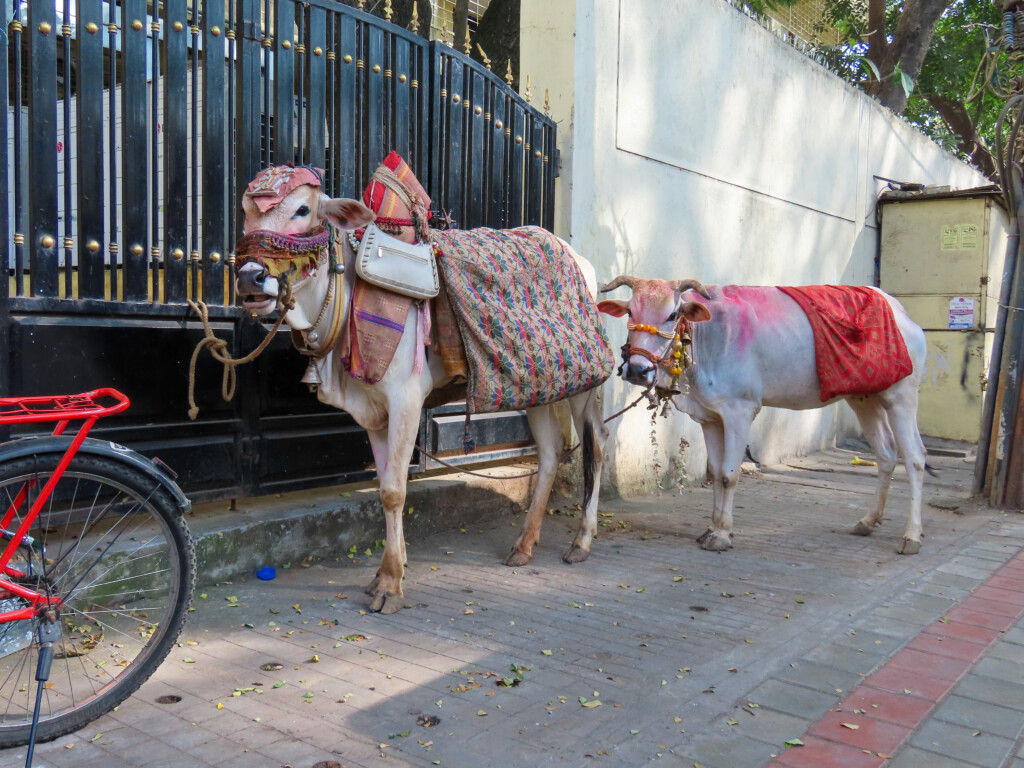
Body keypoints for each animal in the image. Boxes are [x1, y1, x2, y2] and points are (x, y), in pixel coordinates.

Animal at [232, 159, 610, 618]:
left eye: (303, 210)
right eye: (246, 212)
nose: (251, 278)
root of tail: (579, 258)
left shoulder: (406, 399)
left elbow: (395, 491)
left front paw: (390, 584)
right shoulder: (373, 412)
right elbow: (384, 487)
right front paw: (387, 570)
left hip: (585, 384)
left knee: (596, 445)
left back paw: (581, 540)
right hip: (538, 384)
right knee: (552, 451)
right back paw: (524, 544)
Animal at [598, 280, 933, 557]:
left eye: (671, 315)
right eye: (630, 311)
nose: (637, 369)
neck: (706, 337)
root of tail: (901, 312)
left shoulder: (740, 411)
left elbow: (728, 474)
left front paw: (722, 535)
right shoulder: (710, 417)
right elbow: (715, 471)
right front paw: (713, 528)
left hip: (902, 397)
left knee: (915, 458)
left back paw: (912, 536)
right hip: (864, 398)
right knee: (886, 454)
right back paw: (868, 521)